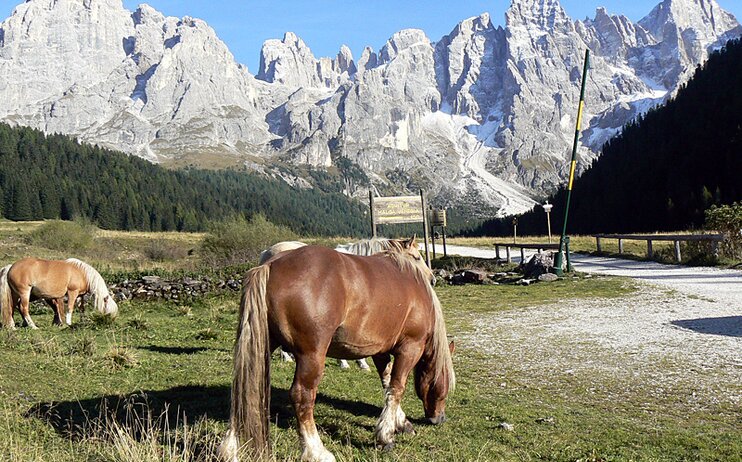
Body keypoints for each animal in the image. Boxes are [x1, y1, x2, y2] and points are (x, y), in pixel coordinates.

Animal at [218, 238, 456, 462]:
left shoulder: (380, 351)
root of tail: (270, 266)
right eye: (444, 385)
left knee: (243, 388)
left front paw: (400, 423)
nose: (439, 418)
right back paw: (316, 451)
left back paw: (230, 449)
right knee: (302, 396)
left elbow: (387, 383)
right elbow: (397, 387)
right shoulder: (409, 348)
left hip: (262, 345)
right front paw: (386, 436)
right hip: (312, 356)